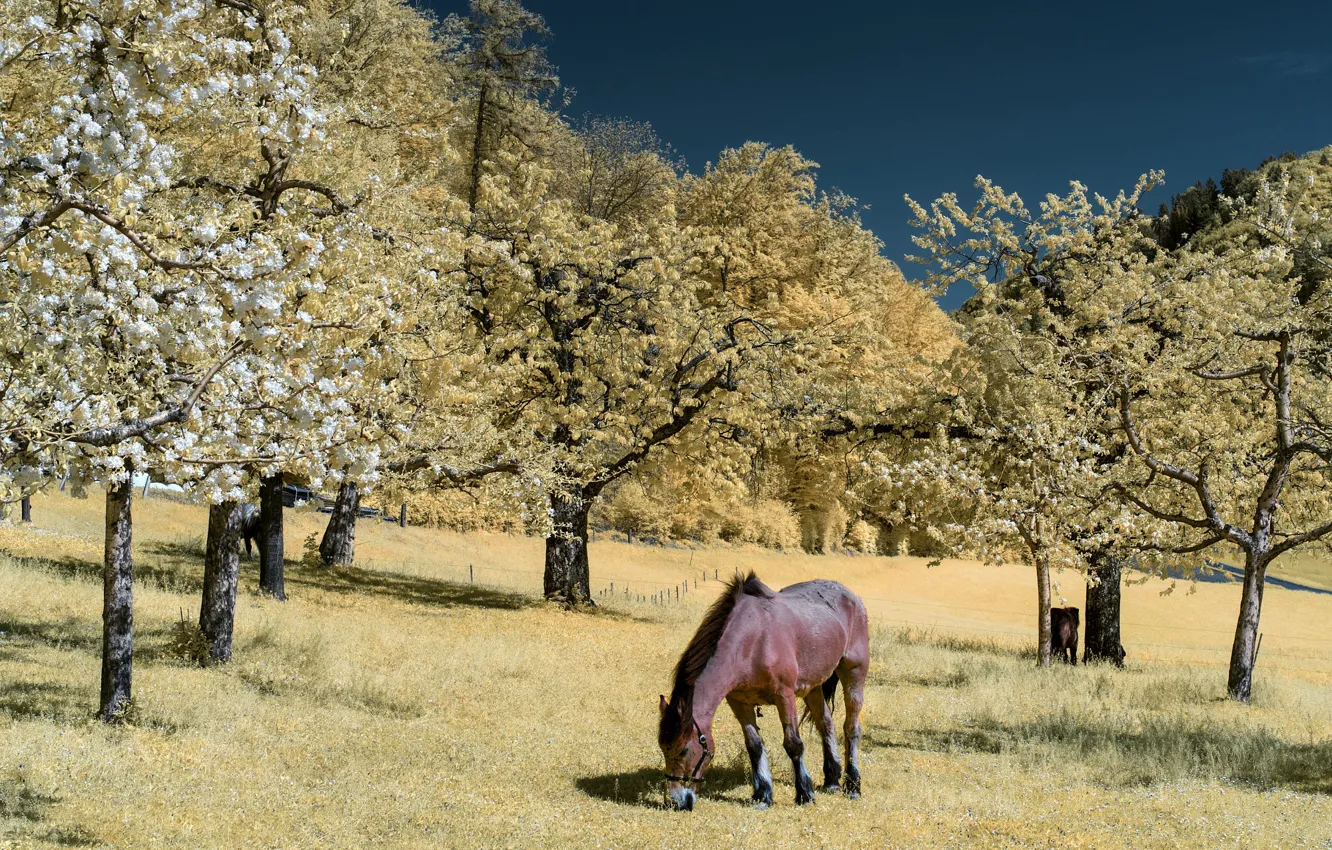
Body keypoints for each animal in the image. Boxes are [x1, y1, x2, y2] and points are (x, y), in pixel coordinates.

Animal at [657, 571, 869, 811]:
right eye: (663, 749)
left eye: (684, 750)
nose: (675, 802)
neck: (753, 641)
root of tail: (852, 597)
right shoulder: (739, 702)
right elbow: (754, 746)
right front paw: (763, 794)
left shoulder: (785, 696)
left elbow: (793, 744)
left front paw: (805, 794)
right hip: (813, 687)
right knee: (826, 724)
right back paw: (832, 780)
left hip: (854, 675)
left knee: (851, 728)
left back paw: (853, 786)